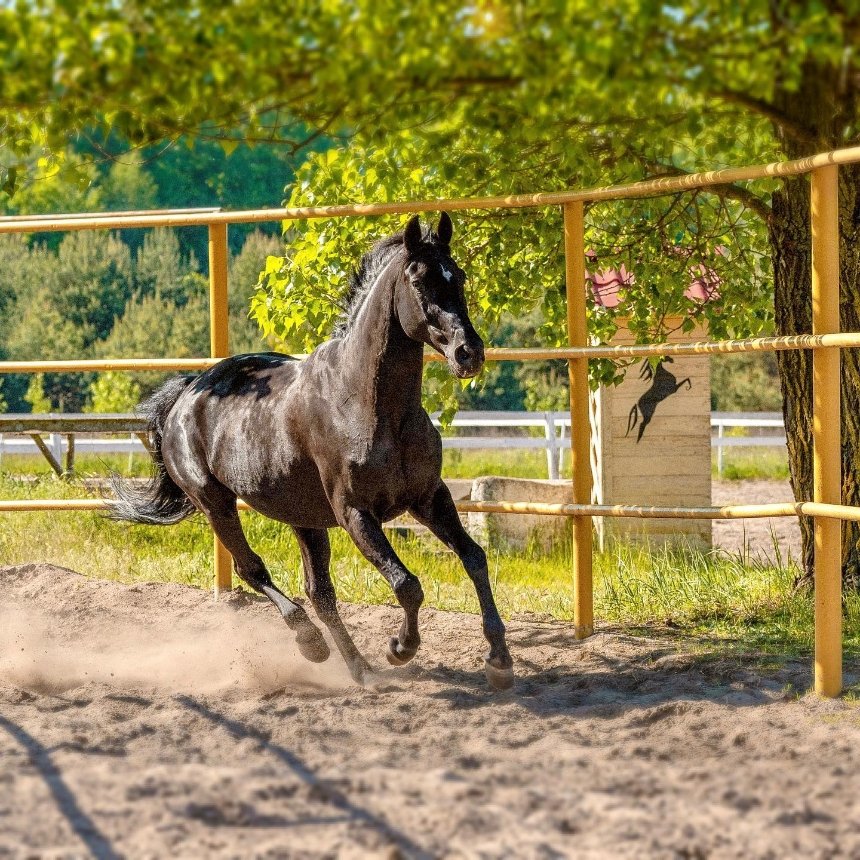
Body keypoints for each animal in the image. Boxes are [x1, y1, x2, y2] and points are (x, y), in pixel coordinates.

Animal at [106, 217, 510, 692]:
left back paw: (359, 669)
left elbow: (475, 558)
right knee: (253, 570)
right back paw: (311, 643)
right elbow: (407, 584)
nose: (469, 353)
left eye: (458, 276)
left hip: (303, 517)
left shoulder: (431, 498)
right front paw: (400, 648)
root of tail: (188, 392)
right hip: (215, 502)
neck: (370, 404)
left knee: (320, 592)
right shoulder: (355, 513)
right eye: (418, 281)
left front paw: (499, 659)